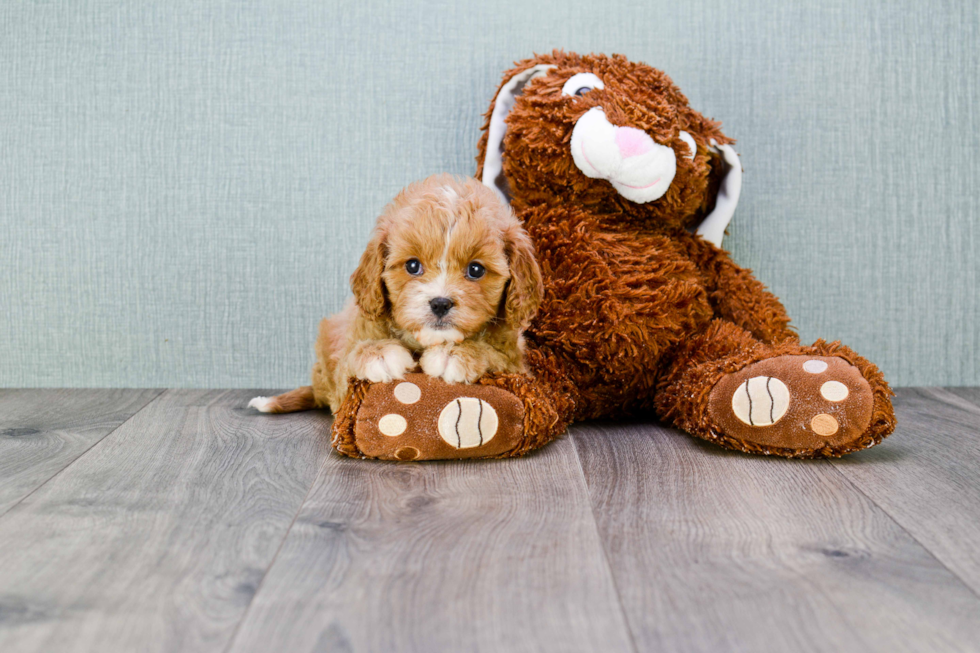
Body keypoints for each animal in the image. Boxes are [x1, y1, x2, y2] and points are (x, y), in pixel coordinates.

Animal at [249, 173, 544, 412]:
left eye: (475, 270)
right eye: (413, 265)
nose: (440, 303)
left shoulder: (517, 365)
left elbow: (496, 355)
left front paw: (455, 354)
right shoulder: (346, 373)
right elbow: (349, 360)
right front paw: (379, 354)